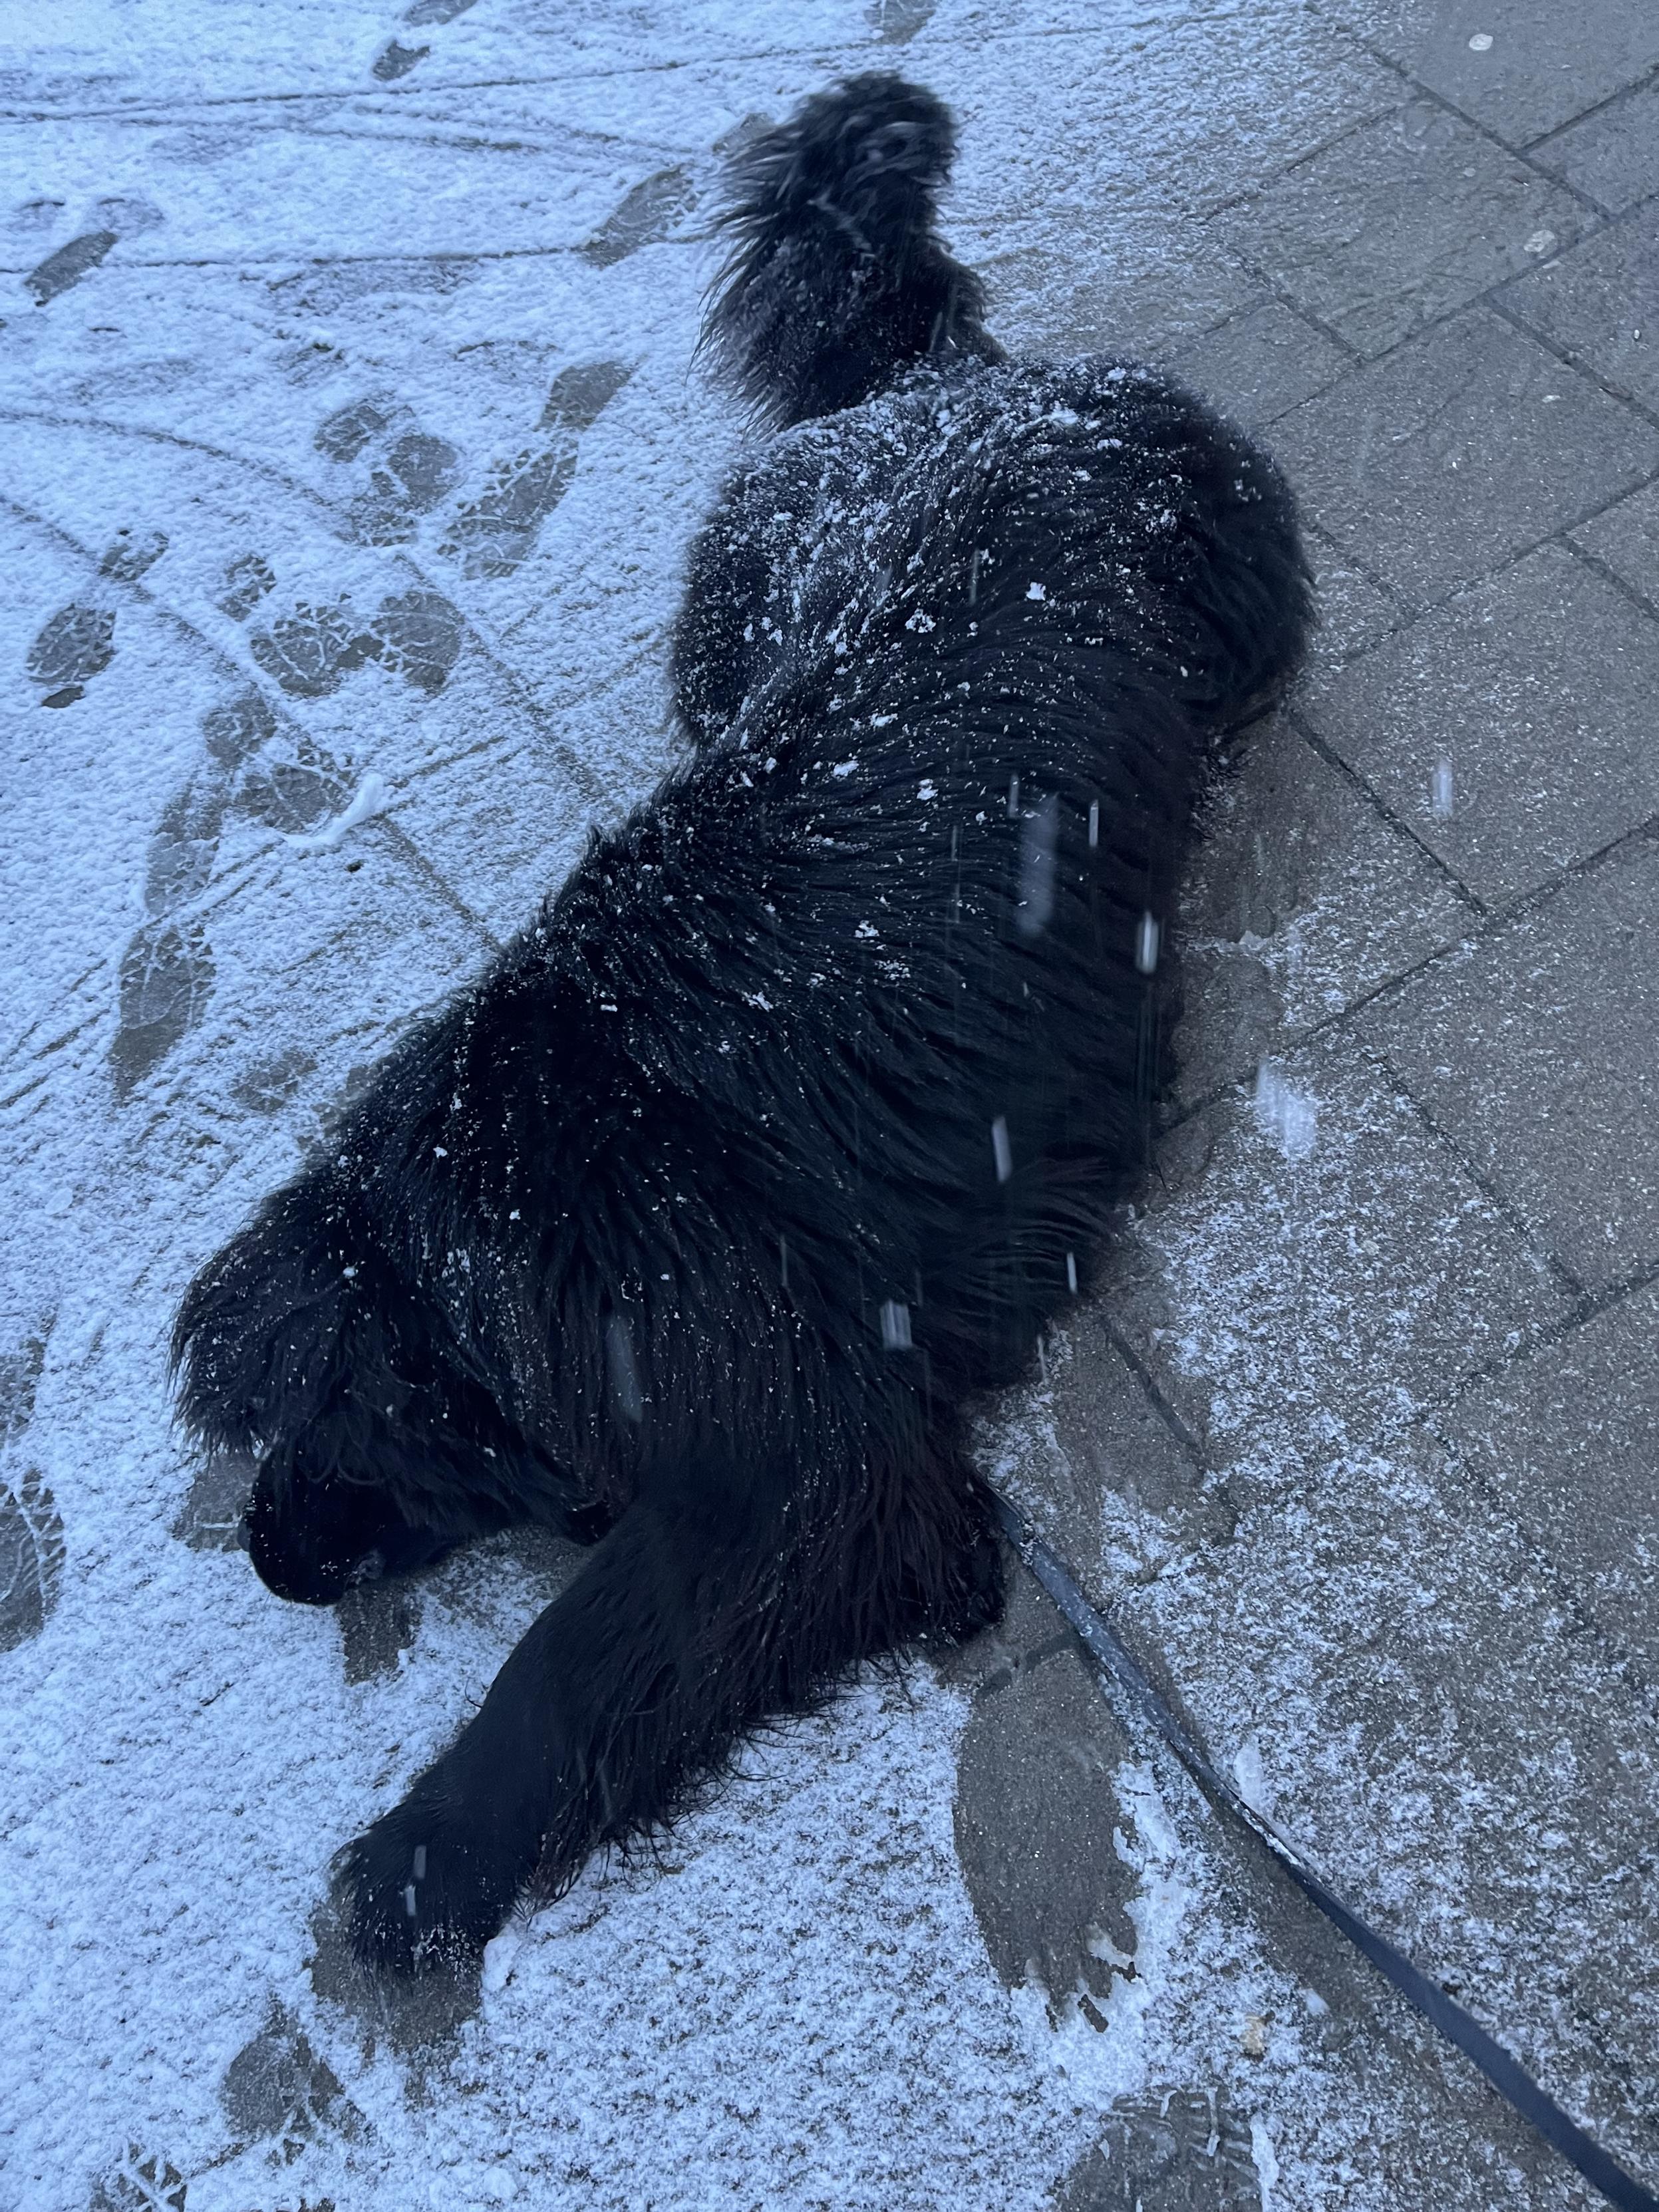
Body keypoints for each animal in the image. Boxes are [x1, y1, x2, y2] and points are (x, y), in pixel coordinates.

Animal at [172, 73, 1312, 1969]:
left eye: (325, 1432)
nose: (262, 1551)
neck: (536, 1199)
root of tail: (932, 391)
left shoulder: (807, 1470)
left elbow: (570, 1664)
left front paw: (421, 1857)